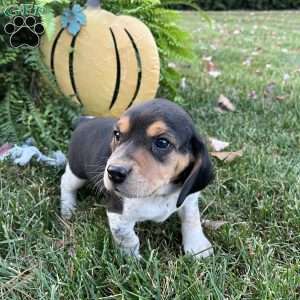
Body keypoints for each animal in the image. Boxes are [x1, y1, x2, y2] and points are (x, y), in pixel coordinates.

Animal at [60, 98, 213, 258]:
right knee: (66, 183)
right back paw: (68, 209)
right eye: (117, 135)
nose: (114, 172)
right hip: (76, 171)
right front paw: (132, 259)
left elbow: (192, 219)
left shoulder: (189, 198)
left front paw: (197, 247)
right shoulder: (118, 214)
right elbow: (128, 238)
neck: (159, 193)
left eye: (162, 142)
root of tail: (84, 122)